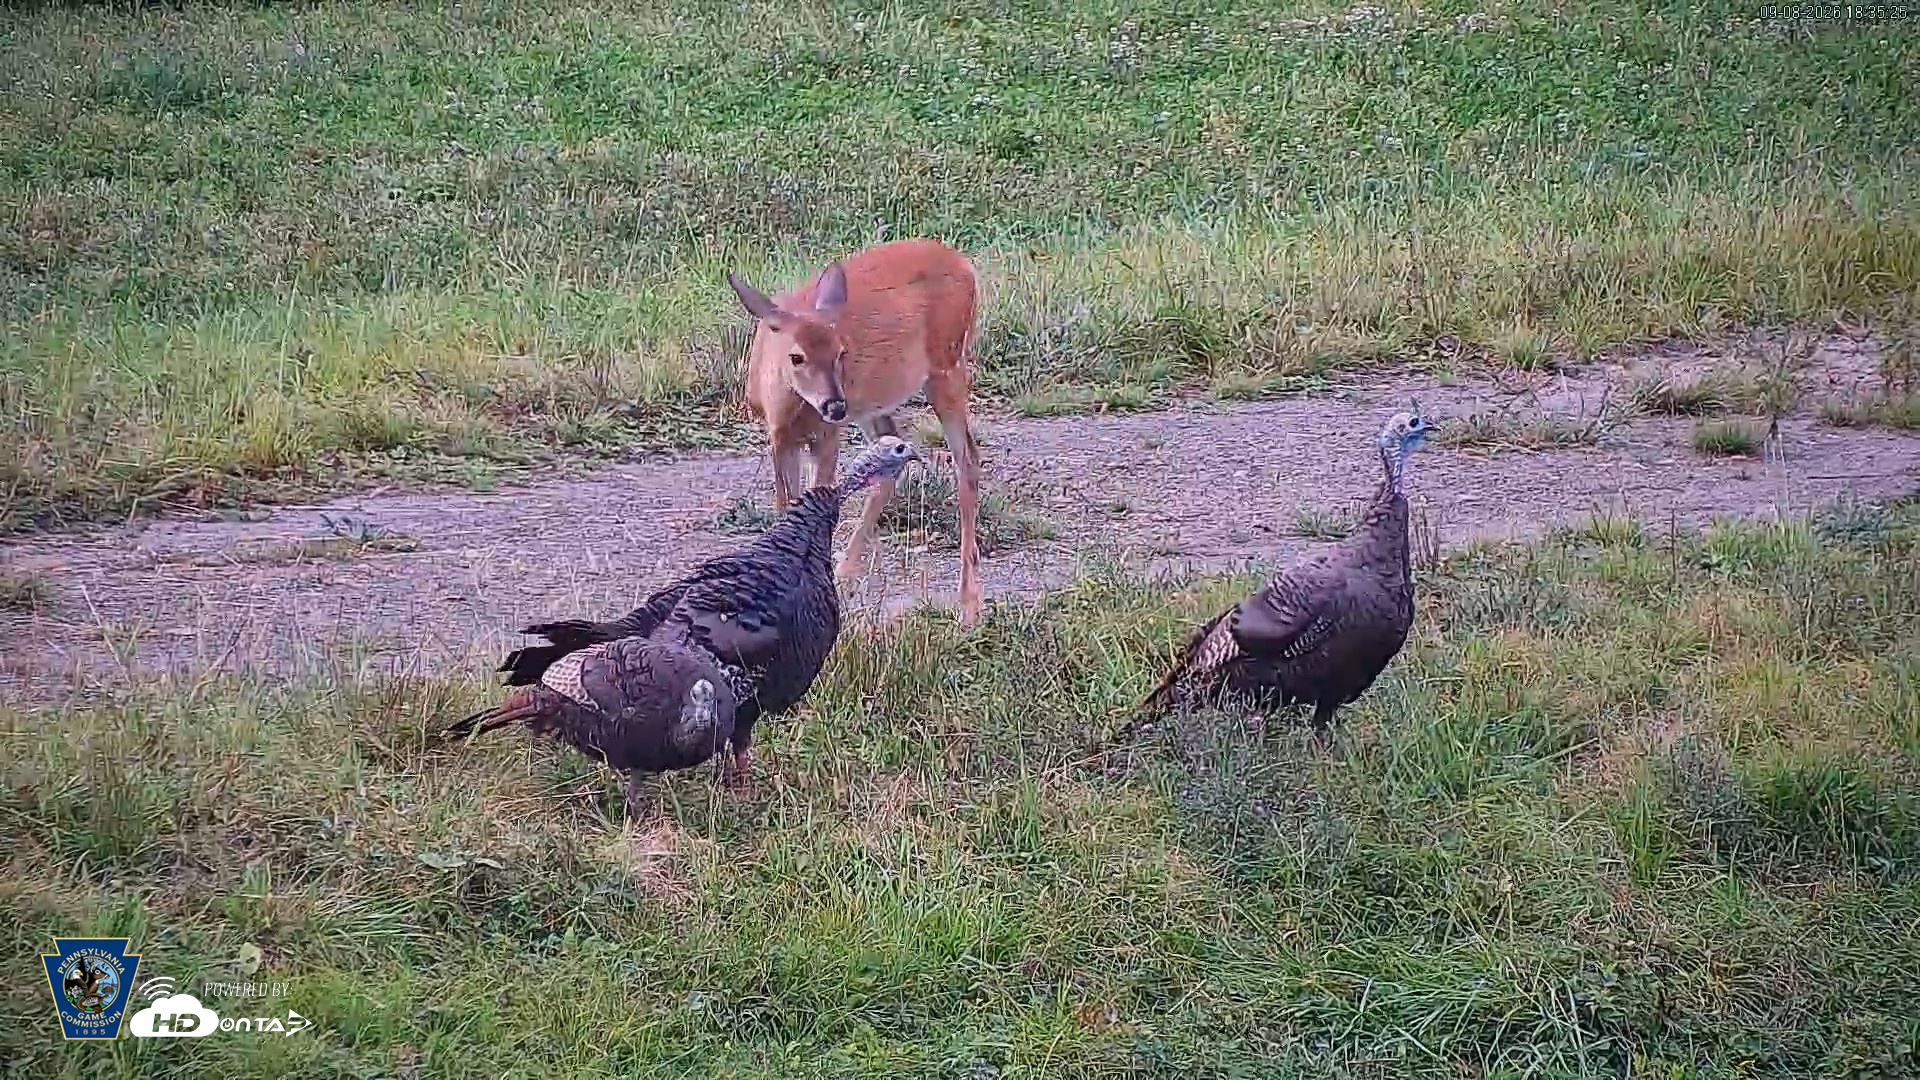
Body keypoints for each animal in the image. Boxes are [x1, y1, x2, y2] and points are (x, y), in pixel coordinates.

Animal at [725, 236, 984, 627]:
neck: (789, 410)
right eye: (796, 357)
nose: (835, 405)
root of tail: (963, 262)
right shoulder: (778, 439)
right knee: (896, 458)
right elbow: (787, 506)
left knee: (966, 460)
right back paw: (846, 577)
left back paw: (968, 603)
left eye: (841, 352)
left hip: (946, 366)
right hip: (872, 405)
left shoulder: (827, 437)